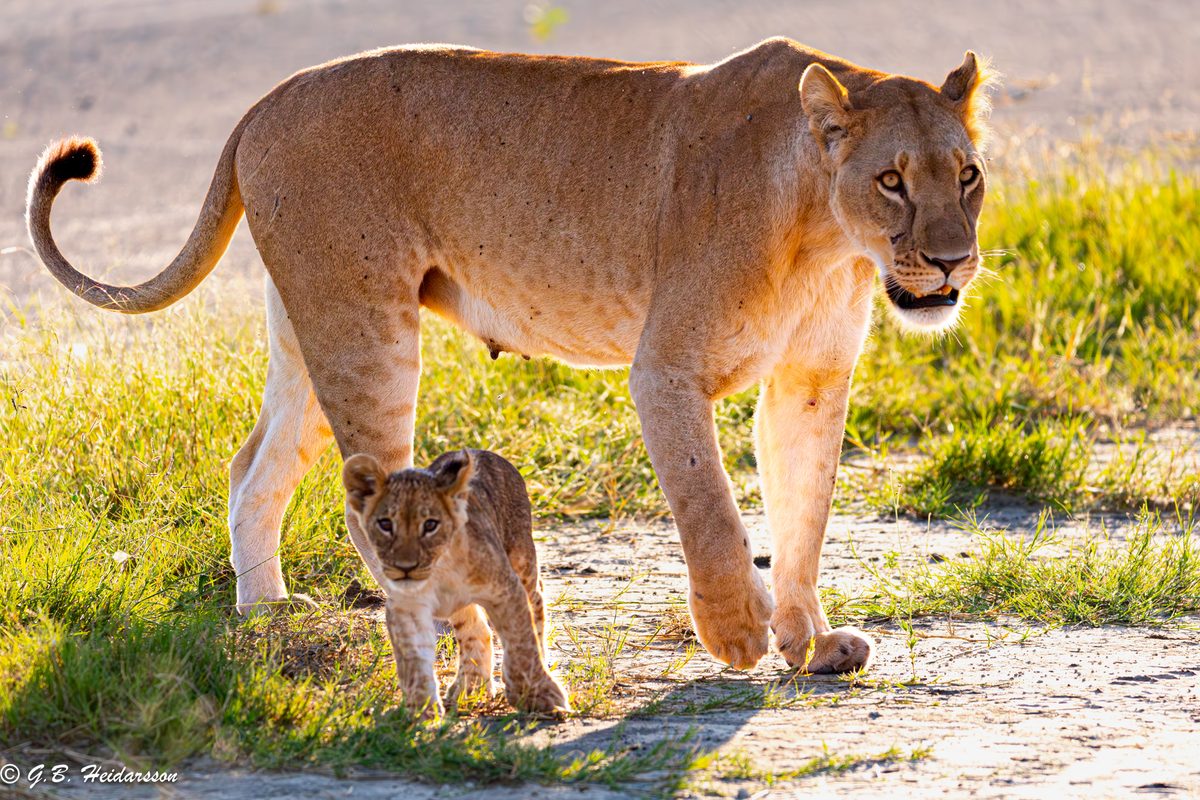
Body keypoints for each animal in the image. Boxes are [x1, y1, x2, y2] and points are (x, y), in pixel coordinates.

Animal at [26, 37, 995, 673]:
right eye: (892, 180)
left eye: (968, 175)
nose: (952, 262)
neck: (828, 241)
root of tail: (263, 101)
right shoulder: (664, 369)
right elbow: (712, 509)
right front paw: (738, 635)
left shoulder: (811, 382)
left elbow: (804, 517)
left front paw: (812, 643)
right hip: (368, 335)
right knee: (369, 497)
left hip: (310, 326)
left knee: (253, 467)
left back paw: (265, 616)